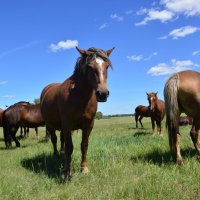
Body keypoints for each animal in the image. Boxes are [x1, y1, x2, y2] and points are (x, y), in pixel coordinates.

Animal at [40, 46, 114, 180]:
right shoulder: (67, 124)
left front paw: (84, 168)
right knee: (54, 139)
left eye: (106, 66)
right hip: (50, 125)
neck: (79, 96)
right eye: (89, 66)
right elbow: (70, 147)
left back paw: (61, 153)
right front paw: (67, 173)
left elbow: (84, 145)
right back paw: (56, 155)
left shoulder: (88, 125)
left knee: (61, 139)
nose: (102, 93)